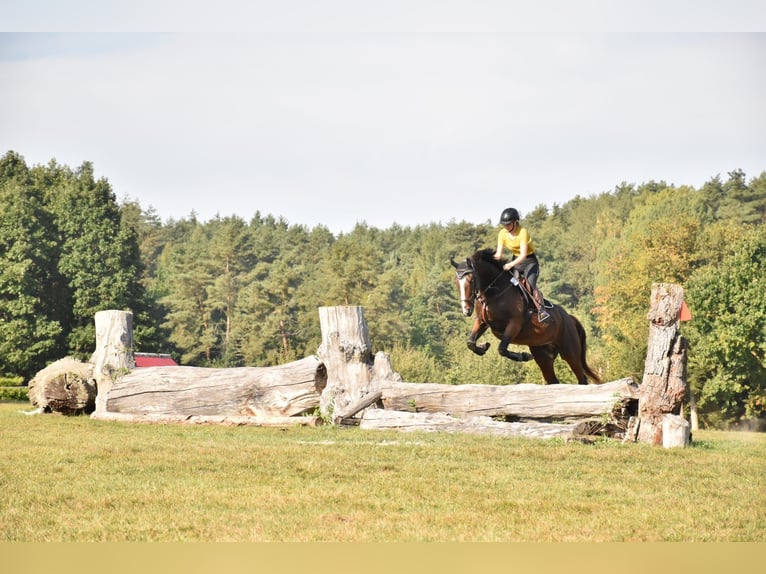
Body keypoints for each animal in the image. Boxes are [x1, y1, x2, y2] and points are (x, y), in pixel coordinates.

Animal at [450, 249, 608, 388]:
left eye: (471, 279)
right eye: (456, 282)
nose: (466, 310)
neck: (493, 294)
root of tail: (569, 318)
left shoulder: (514, 323)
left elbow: (502, 349)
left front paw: (524, 356)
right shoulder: (482, 321)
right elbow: (471, 342)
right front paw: (483, 347)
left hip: (570, 351)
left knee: (582, 378)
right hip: (543, 355)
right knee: (553, 380)